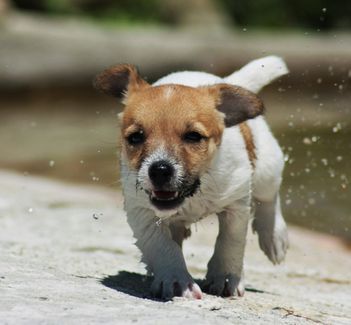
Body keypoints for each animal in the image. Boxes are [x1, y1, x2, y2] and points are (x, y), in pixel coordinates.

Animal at [93, 55, 288, 298]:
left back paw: (274, 236)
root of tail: (226, 80)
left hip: (266, 169)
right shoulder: (141, 212)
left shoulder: (236, 203)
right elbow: (162, 246)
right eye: (135, 137)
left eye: (193, 136)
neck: (196, 191)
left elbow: (230, 241)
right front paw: (176, 279)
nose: (160, 170)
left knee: (269, 197)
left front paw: (225, 276)